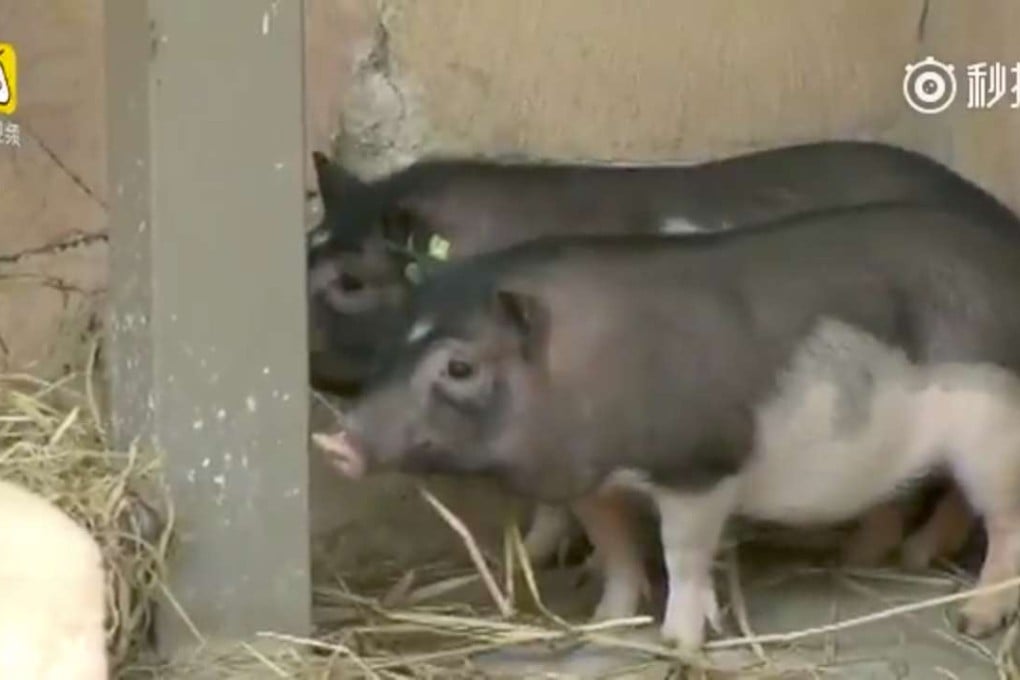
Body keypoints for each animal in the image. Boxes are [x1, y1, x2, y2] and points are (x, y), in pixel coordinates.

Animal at [314, 201, 1020, 650]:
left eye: (459, 366)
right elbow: (617, 550)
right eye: (394, 346)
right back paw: (886, 556)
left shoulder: (699, 467)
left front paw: (676, 642)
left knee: (1005, 521)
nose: (337, 442)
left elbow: (683, 555)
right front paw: (603, 623)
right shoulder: (591, 480)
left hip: (994, 427)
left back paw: (971, 620)